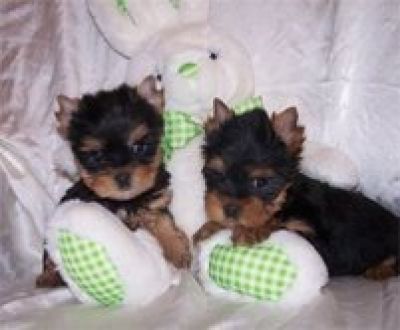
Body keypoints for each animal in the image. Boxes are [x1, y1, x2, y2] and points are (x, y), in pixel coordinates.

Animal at [38, 76, 192, 288]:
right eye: (96, 155)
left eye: (139, 147)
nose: (122, 177)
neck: (127, 201)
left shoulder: (155, 201)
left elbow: (163, 221)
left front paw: (176, 249)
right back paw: (49, 277)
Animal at [193, 99, 396, 280]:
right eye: (217, 174)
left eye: (261, 182)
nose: (229, 209)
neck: (286, 200)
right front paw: (211, 226)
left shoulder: (326, 248)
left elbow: (280, 225)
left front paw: (251, 229)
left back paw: (380, 269)